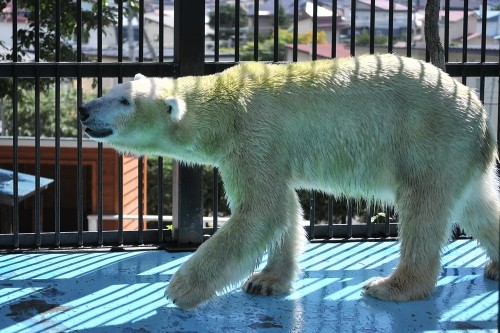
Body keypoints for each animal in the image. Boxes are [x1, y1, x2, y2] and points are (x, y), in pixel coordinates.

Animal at [78, 53, 496, 308]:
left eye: (125, 102)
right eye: (114, 90)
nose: (83, 109)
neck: (227, 107)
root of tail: (481, 118)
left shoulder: (252, 135)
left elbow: (260, 211)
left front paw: (181, 288)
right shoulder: (264, 151)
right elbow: (284, 210)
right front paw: (266, 281)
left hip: (427, 140)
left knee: (422, 211)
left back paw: (391, 285)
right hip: (456, 155)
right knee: (478, 207)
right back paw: (495, 265)